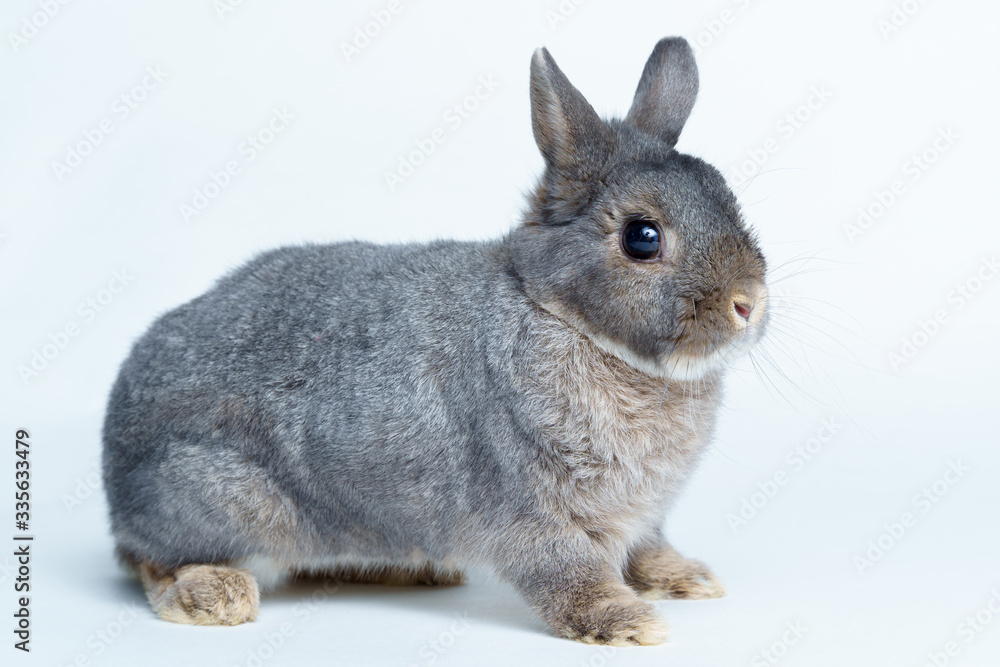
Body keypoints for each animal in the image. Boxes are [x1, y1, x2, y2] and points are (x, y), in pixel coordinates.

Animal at [102, 36, 768, 645]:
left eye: (728, 198)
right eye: (642, 237)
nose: (749, 302)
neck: (560, 315)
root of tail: (113, 470)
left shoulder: (642, 518)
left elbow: (647, 548)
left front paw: (688, 580)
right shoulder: (530, 510)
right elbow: (569, 573)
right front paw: (628, 623)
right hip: (228, 500)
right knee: (151, 561)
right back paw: (213, 595)